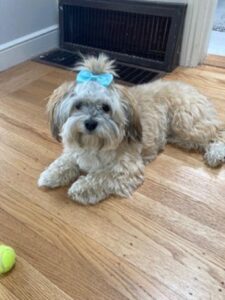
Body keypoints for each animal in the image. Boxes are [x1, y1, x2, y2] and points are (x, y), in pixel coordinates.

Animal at [37, 54, 225, 204]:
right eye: (78, 105)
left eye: (106, 107)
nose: (90, 123)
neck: (94, 144)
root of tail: (191, 88)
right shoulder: (74, 152)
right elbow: (64, 162)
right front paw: (51, 175)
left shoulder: (125, 169)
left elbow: (101, 177)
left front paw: (81, 187)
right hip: (181, 135)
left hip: (186, 124)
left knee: (218, 131)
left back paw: (216, 153)